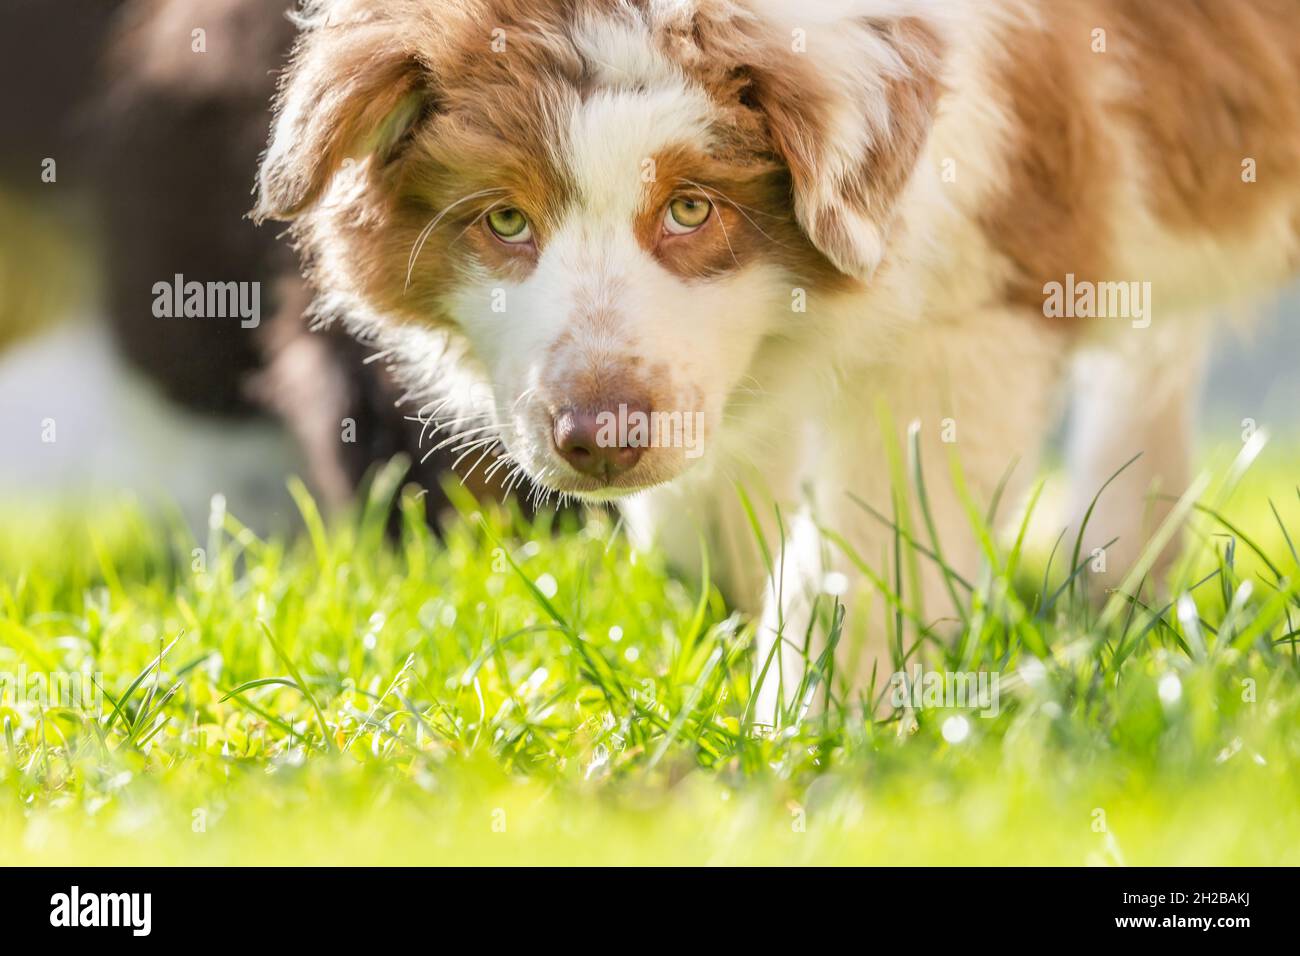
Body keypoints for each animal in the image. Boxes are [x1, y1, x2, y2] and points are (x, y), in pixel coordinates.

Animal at [253, 0, 1300, 717]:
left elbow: (869, 539)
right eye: (506, 219)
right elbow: (710, 508)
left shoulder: (971, 308)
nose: (601, 440)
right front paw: (728, 618)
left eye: (691, 208)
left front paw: (808, 731)